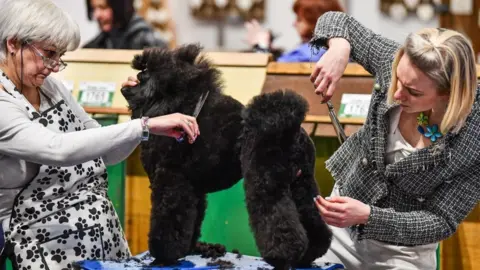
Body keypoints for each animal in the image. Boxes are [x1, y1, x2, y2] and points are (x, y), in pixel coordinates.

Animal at [122, 44, 246, 266]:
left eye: (143, 76)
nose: (130, 82)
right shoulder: (194, 189)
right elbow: (192, 220)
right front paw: (187, 249)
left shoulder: (172, 181)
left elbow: (169, 221)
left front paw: (163, 257)